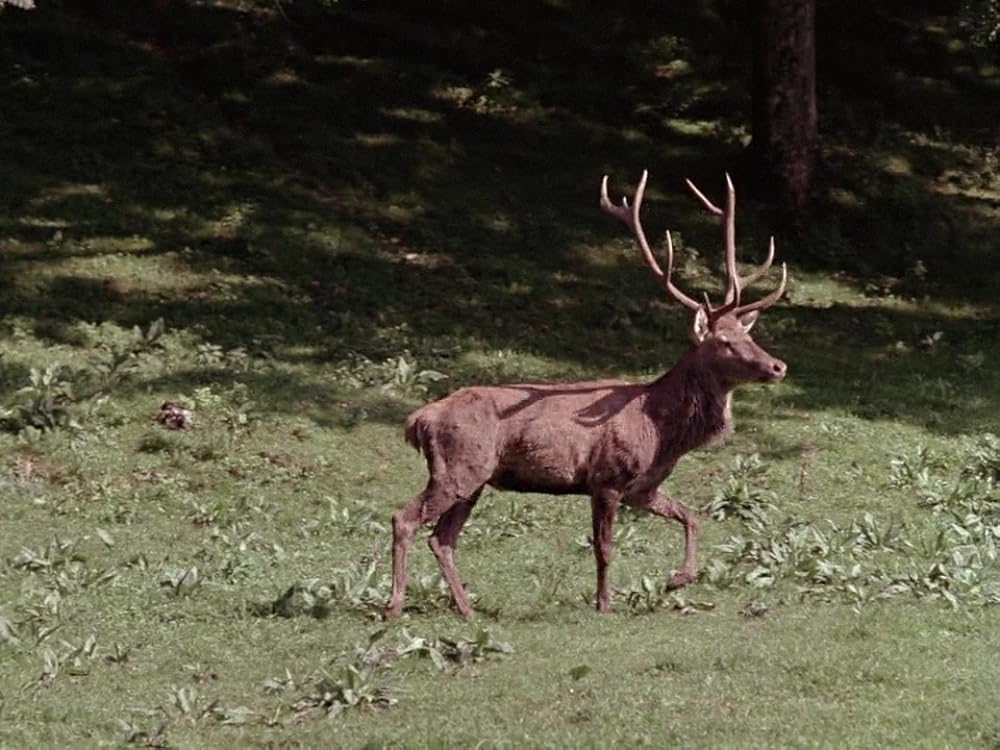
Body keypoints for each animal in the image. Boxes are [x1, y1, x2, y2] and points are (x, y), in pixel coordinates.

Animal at [382, 172, 788, 624]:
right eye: (724, 341)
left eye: (749, 335)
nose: (777, 366)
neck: (662, 430)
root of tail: (419, 420)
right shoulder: (606, 478)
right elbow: (605, 548)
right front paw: (604, 603)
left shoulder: (643, 488)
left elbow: (692, 516)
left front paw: (677, 579)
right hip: (457, 468)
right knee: (404, 519)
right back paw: (394, 605)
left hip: (473, 478)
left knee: (443, 538)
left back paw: (467, 608)